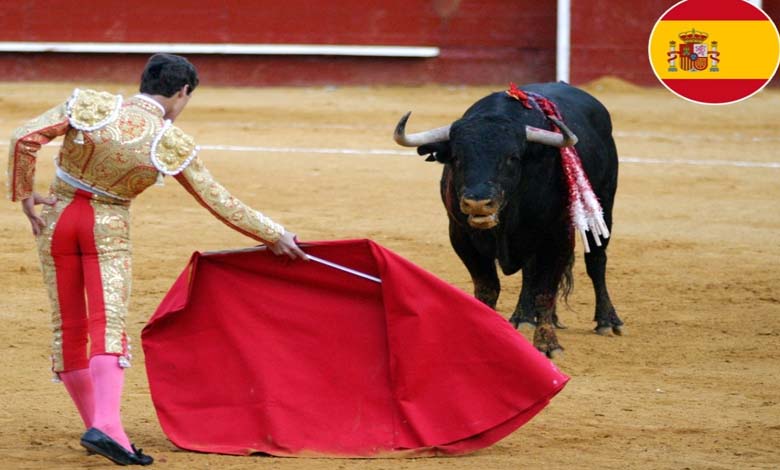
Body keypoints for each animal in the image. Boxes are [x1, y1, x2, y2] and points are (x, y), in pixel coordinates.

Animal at [394, 81, 624, 356]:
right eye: (457, 158)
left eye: (512, 157)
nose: (478, 202)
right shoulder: (461, 236)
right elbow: (488, 289)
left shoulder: (558, 235)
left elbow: (546, 291)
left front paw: (547, 344)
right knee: (530, 271)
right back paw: (523, 317)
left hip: (604, 203)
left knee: (596, 260)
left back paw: (607, 321)